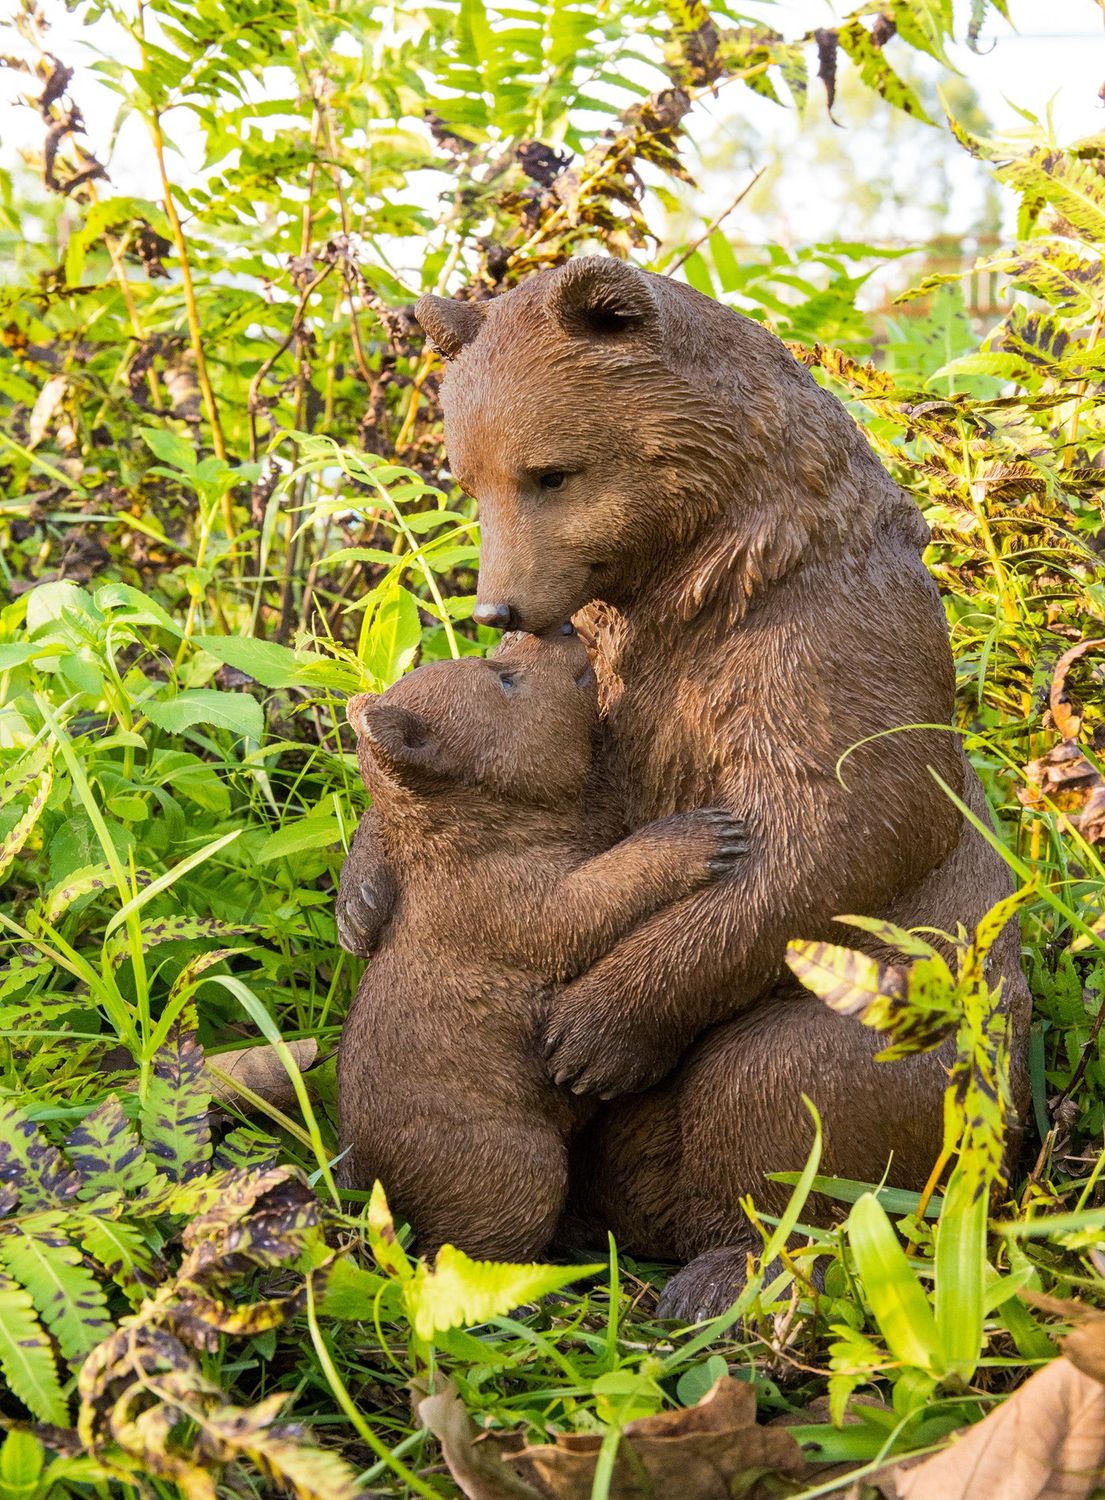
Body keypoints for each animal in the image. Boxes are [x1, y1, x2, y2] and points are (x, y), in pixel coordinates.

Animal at [336, 626, 747, 1260]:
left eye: (497, 658)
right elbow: (588, 902)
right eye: (502, 677)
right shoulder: (503, 903)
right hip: (506, 1157)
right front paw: (703, 834)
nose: (559, 628)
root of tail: (366, 1179)